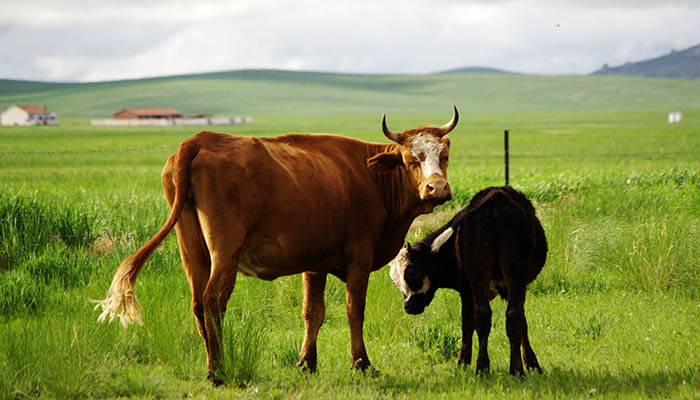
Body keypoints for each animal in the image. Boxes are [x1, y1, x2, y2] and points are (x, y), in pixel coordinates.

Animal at [95, 107, 462, 384]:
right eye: (411, 159)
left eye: (444, 156)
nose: (437, 188)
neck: (370, 177)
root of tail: (199, 140)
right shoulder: (359, 258)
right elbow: (354, 310)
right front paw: (361, 363)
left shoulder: (315, 262)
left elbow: (313, 312)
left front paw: (307, 363)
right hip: (225, 252)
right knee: (213, 301)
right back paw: (218, 371)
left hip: (193, 251)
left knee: (198, 303)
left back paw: (213, 363)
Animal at [388, 186, 548, 376]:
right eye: (395, 282)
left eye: (413, 273)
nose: (409, 307)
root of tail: (496, 198)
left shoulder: (467, 290)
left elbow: (469, 324)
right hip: (507, 273)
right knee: (506, 315)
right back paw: (507, 369)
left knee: (490, 316)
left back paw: (489, 368)